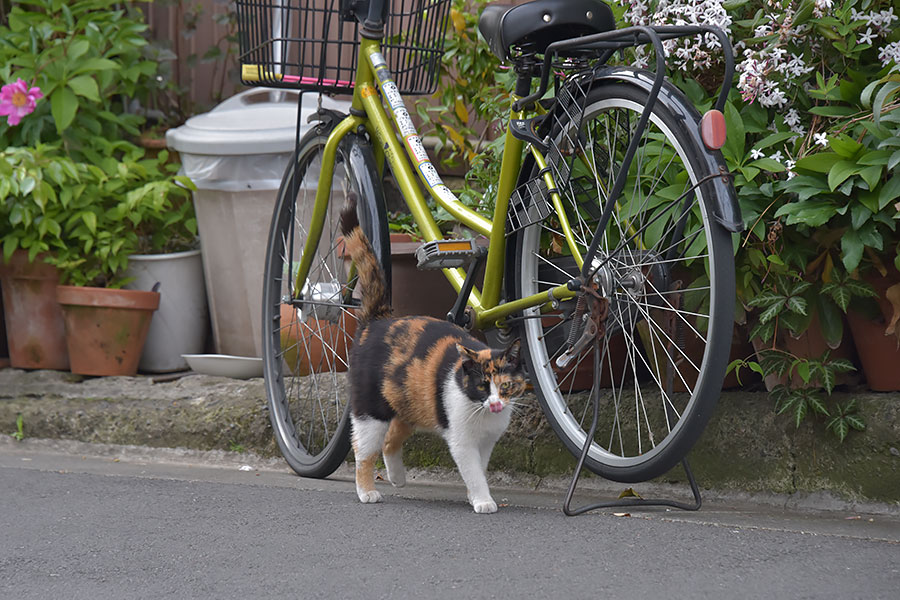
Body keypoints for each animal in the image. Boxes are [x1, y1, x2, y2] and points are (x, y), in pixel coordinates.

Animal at [342, 199, 528, 512]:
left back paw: (397, 478)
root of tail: (376, 321)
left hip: (411, 402)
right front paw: (483, 500)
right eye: (481, 386)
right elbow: (473, 471)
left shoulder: (486, 442)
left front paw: (475, 495)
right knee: (363, 451)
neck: (480, 414)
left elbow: (481, 468)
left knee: (390, 441)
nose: (495, 405)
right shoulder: (462, 441)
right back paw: (367, 491)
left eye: (505, 387)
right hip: (370, 410)